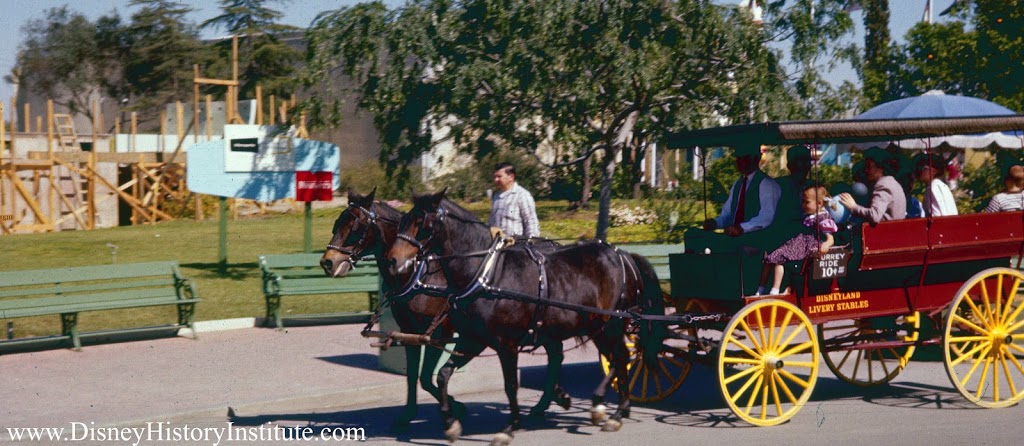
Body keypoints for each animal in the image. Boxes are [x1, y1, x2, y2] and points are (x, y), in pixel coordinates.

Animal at [319, 187, 573, 427]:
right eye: (336, 223)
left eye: (355, 227)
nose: (327, 262)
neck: (418, 274)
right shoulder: (410, 332)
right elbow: (413, 375)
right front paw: (408, 414)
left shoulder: (439, 332)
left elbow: (425, 377)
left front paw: (454, 406)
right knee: (555, 353)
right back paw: (554, 396)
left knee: (555, 353)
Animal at [385, 190, 663, 446]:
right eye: (403, 220)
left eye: (421, 222)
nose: (393, 260)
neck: (488, 275)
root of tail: (623, 254)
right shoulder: (473, 339)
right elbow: (443, 375)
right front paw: (451, 422)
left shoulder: (506, 344)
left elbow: (510, 385)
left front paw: (509, 427)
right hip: (597, 327)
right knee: (615, 358)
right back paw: (614, 408)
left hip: (610, 324)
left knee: (620, 358)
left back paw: (608, 409)